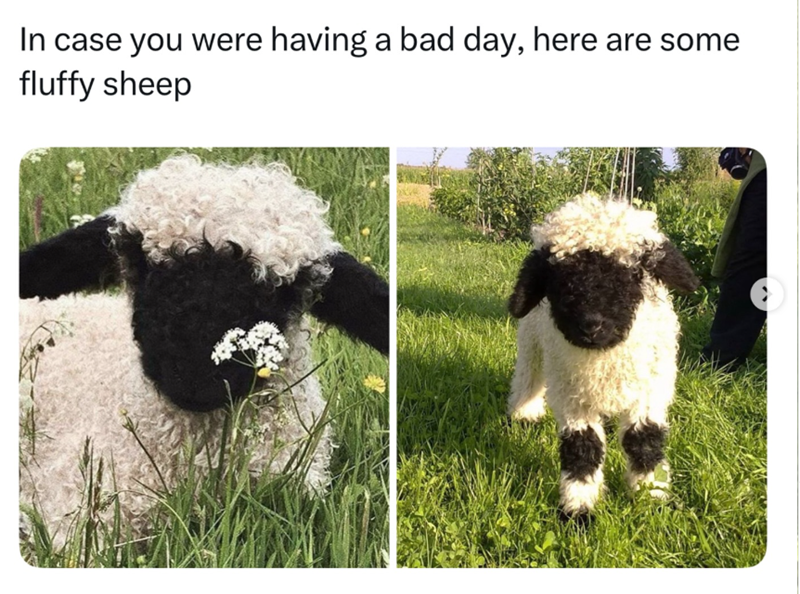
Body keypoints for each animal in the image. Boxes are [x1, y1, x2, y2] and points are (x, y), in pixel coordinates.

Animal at [507, 194, 699, 523]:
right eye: (559, 279)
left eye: (632, 274)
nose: (591, 325)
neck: (604, 359)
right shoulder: (573, 400)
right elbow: (582, 448)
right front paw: (578, 509)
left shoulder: (649, 393)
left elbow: (643, 440)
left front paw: (650, 498)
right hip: (532, 341)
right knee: (528, 375)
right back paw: (525, 413)